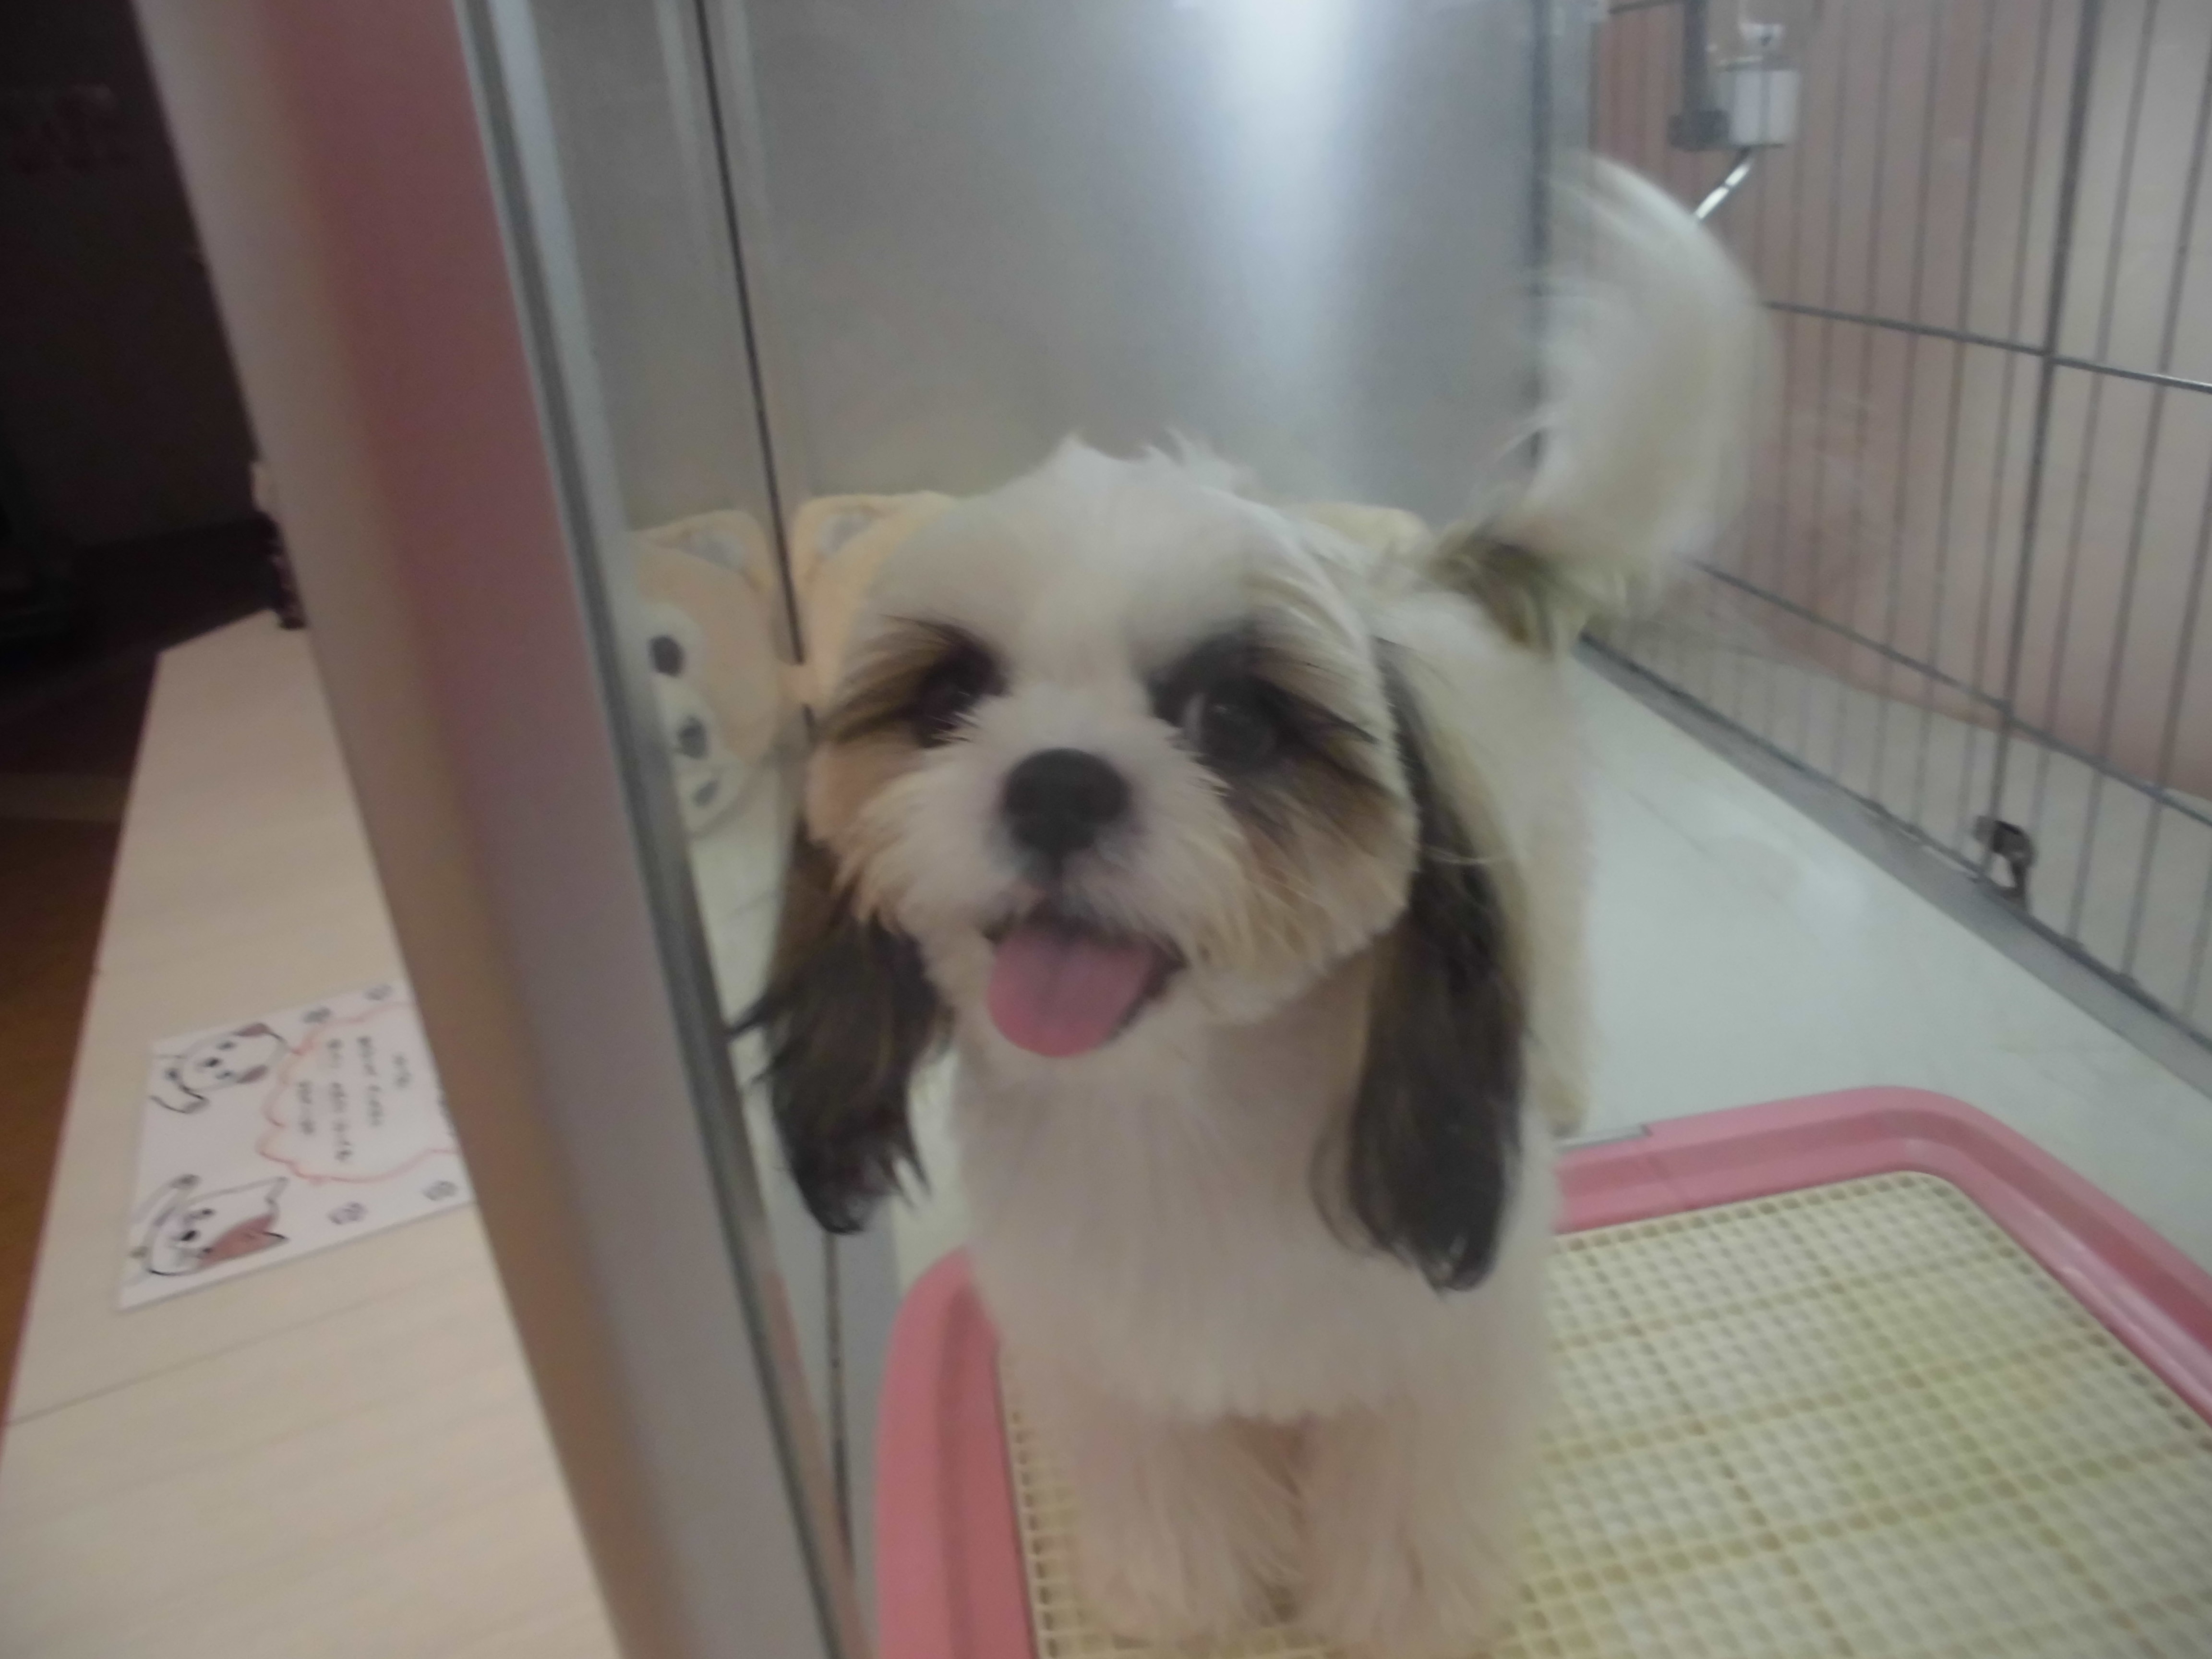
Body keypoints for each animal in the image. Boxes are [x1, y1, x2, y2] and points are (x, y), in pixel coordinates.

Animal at [746, 162, 1758, 1656]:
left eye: (1232, 717)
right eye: (951, 697)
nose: (1056, 782)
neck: (1180, 1109)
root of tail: (1434, 568)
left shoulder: (1430, 1363)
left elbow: (1403, 1517)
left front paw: (1396, 1614)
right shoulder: (1118, 1364)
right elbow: (1172, 1497)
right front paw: (1182, 1598)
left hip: (1546, 863)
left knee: (1561, 962)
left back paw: (1563, 1073)